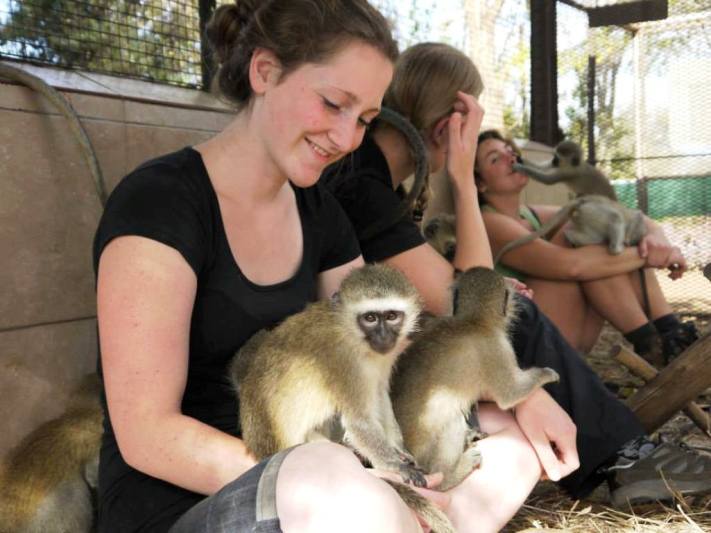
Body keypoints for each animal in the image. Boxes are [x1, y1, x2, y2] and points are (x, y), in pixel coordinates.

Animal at [232, 262, 456, 532]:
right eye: (370, 318)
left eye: (392, 316)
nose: (383, 337)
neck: (351, 334)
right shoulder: (343, 363)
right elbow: (359, 422)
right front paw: (395, 465)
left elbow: (380, 394)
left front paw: (399, 450)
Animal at [390, 266, 560, 490]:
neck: (473, 320)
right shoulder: (497, 347)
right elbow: (509, 395)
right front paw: (547, 374)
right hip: (423, 457)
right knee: (452, 421)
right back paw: (450, 475)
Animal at [496, 192, 644, 264]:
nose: (630, 242)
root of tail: (582, 202)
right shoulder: (632, 221)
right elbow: (626, 218)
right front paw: (621, 245)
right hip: (592, 212)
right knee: (614, 217)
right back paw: (615, 248)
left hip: (585, 216)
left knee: (594, 237)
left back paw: (570, 237)